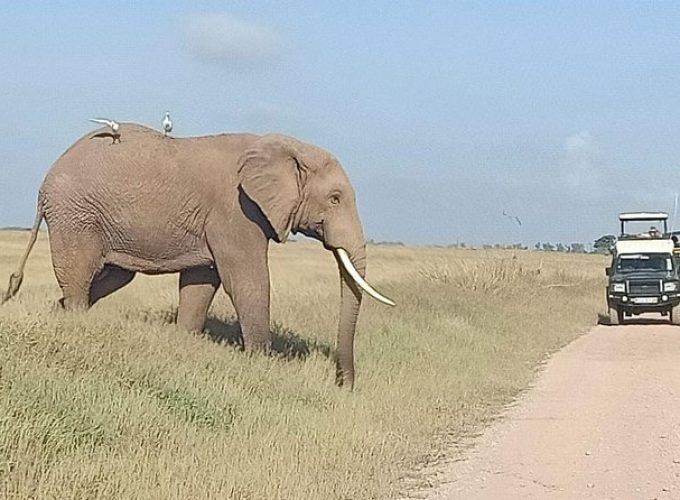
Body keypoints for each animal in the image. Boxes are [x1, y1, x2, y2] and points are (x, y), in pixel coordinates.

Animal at [1, 123, 394, 388]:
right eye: (335, 199)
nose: (343, 384)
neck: (286, 146)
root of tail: (45, 183)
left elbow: (202, 282)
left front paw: (185, 343)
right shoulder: (236, 209)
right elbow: (247, 281)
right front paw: (261, 363)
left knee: (110, 276)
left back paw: (57, 313)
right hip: (76, 215)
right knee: (80, 275)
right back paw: (75, 320)